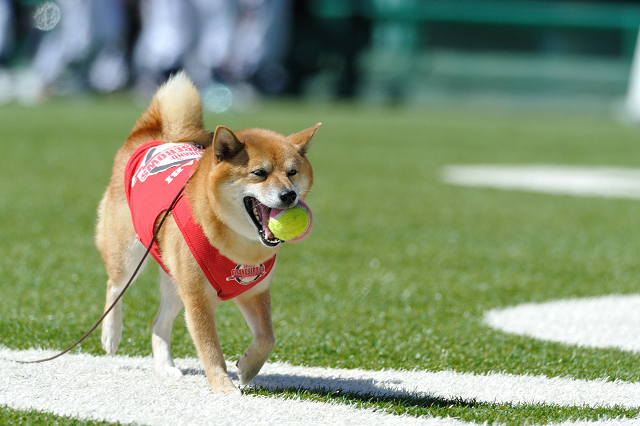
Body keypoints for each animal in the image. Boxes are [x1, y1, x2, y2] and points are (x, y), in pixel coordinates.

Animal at [95, 72, 320, 392]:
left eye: (292, 172)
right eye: (259, 173)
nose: (289, 196)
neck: (239, 245)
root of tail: (157, 137)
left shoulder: (254, 291)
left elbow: (267, 338)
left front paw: (247, 368)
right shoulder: (198, 300)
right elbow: (211, 350)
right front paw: (224, 389)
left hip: (175, 280)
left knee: (158, 324)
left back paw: (165, 367)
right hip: (129, 253)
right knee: (114, 286)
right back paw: (111, 334)